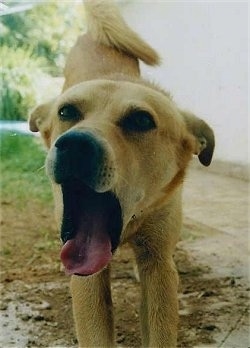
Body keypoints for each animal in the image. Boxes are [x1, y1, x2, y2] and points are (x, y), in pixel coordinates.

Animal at [28, 1, 213, 346]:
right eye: (66, 112)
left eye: (141, 120)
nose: (75, 144)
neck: (131, 222)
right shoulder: (87, 277)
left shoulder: (158, 263)